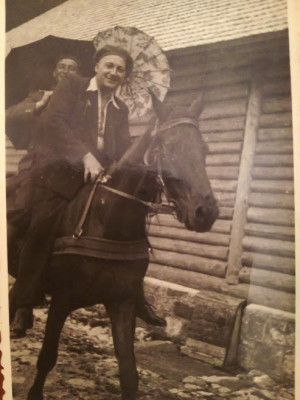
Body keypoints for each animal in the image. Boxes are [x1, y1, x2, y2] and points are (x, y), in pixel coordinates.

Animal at [26, 96, 218, 400]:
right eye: (167, 147)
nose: (206, 212)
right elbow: (47, 357)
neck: (107, 219)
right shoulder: (61, 299)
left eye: (205, 149)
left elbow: (129, 373)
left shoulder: (122, 302)